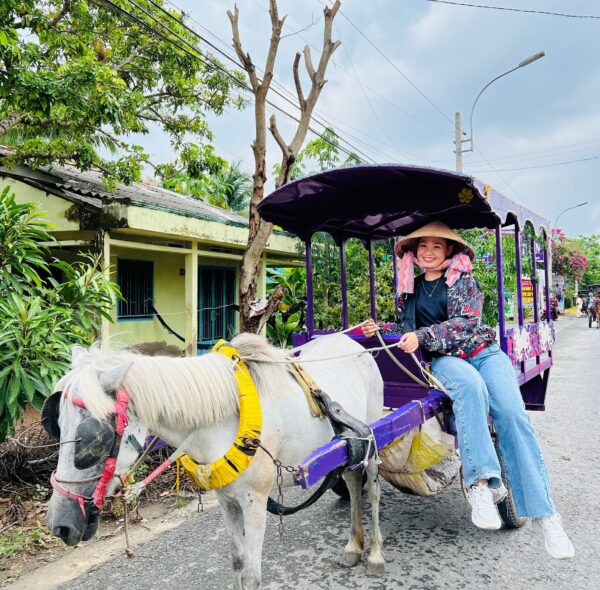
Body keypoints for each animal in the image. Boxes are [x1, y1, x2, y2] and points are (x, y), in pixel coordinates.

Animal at [45, 333, 385, 589]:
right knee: (352, 480)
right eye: (56, 424)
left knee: (373, 489)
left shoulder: (255, 502)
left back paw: (375, 554)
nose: (59, 525)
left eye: (95, 440)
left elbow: (253, 574)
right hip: (347, 446)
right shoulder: (227, 499)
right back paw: (353, 545)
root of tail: (354, 342)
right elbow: (237, 563)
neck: (225, 419)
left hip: (372, 439)